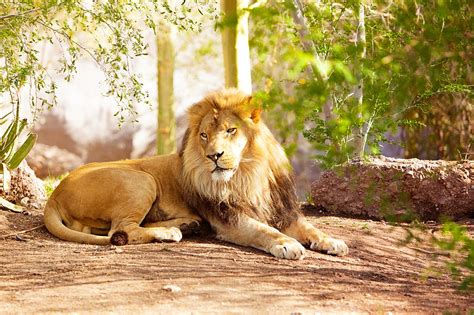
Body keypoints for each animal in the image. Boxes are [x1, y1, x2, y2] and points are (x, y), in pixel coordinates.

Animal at [44, 88, 348, 260]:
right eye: (204, 135)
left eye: (230, 130)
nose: (214, 155)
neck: (247, 176)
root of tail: (55, 193)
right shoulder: (229, 219)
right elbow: (264, 230)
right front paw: (287, 244)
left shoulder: (283, 211)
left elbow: (312, 228)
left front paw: (333, 241)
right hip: (141, 180)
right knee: (121, 230)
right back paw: (170, 233)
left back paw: (186, 225)